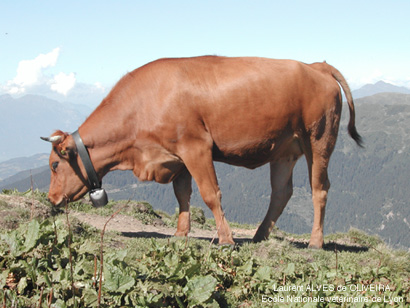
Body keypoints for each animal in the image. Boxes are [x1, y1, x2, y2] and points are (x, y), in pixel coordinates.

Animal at [42, 56, 362, 248]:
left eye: (55, 165)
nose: (51, 198)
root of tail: (316, 65)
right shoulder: (177, 157)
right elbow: (183, 195)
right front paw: (180, 234)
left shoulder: (196, 147)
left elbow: (210, 194)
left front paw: (226, 240)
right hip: (284, 150)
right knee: (281, 192)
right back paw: (259, 236)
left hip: (319, 139)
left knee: (319, 188)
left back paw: (315, 242)